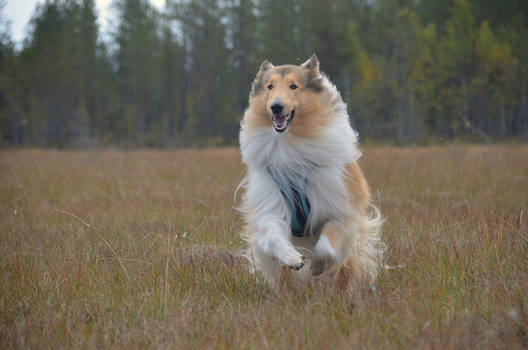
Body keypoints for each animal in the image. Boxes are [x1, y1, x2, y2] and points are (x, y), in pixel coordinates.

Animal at [239, 54, 384, 288]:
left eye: (293, 86)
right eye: (270, 86)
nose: (276, 107)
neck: (290, 144)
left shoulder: (338, 210)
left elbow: (327, 246)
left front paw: (317, 265)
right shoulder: (271, 206)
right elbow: (272, 235)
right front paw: (293, 258)